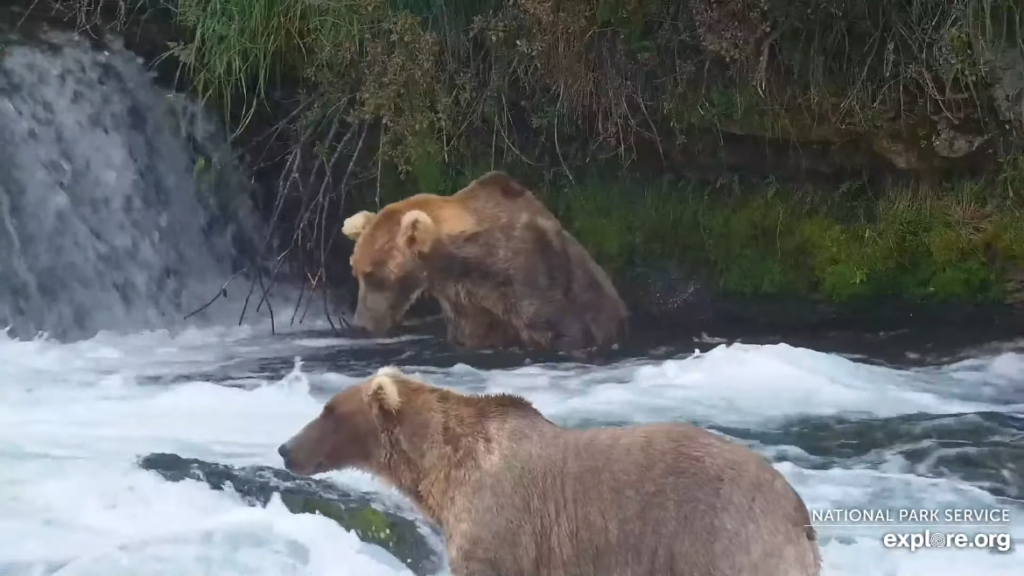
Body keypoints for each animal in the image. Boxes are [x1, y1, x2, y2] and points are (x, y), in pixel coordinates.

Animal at [278, 364, 823, 573]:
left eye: (327, 410)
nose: (285, 448)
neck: (442, 471)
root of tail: (797, 508)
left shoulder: (499, 523)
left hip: (721, 540)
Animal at [339, 168, 626, 352]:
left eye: (375, 275)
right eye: (356, 272)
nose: (360, 325)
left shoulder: (535, 278)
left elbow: (561, 326)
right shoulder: (467, 302)